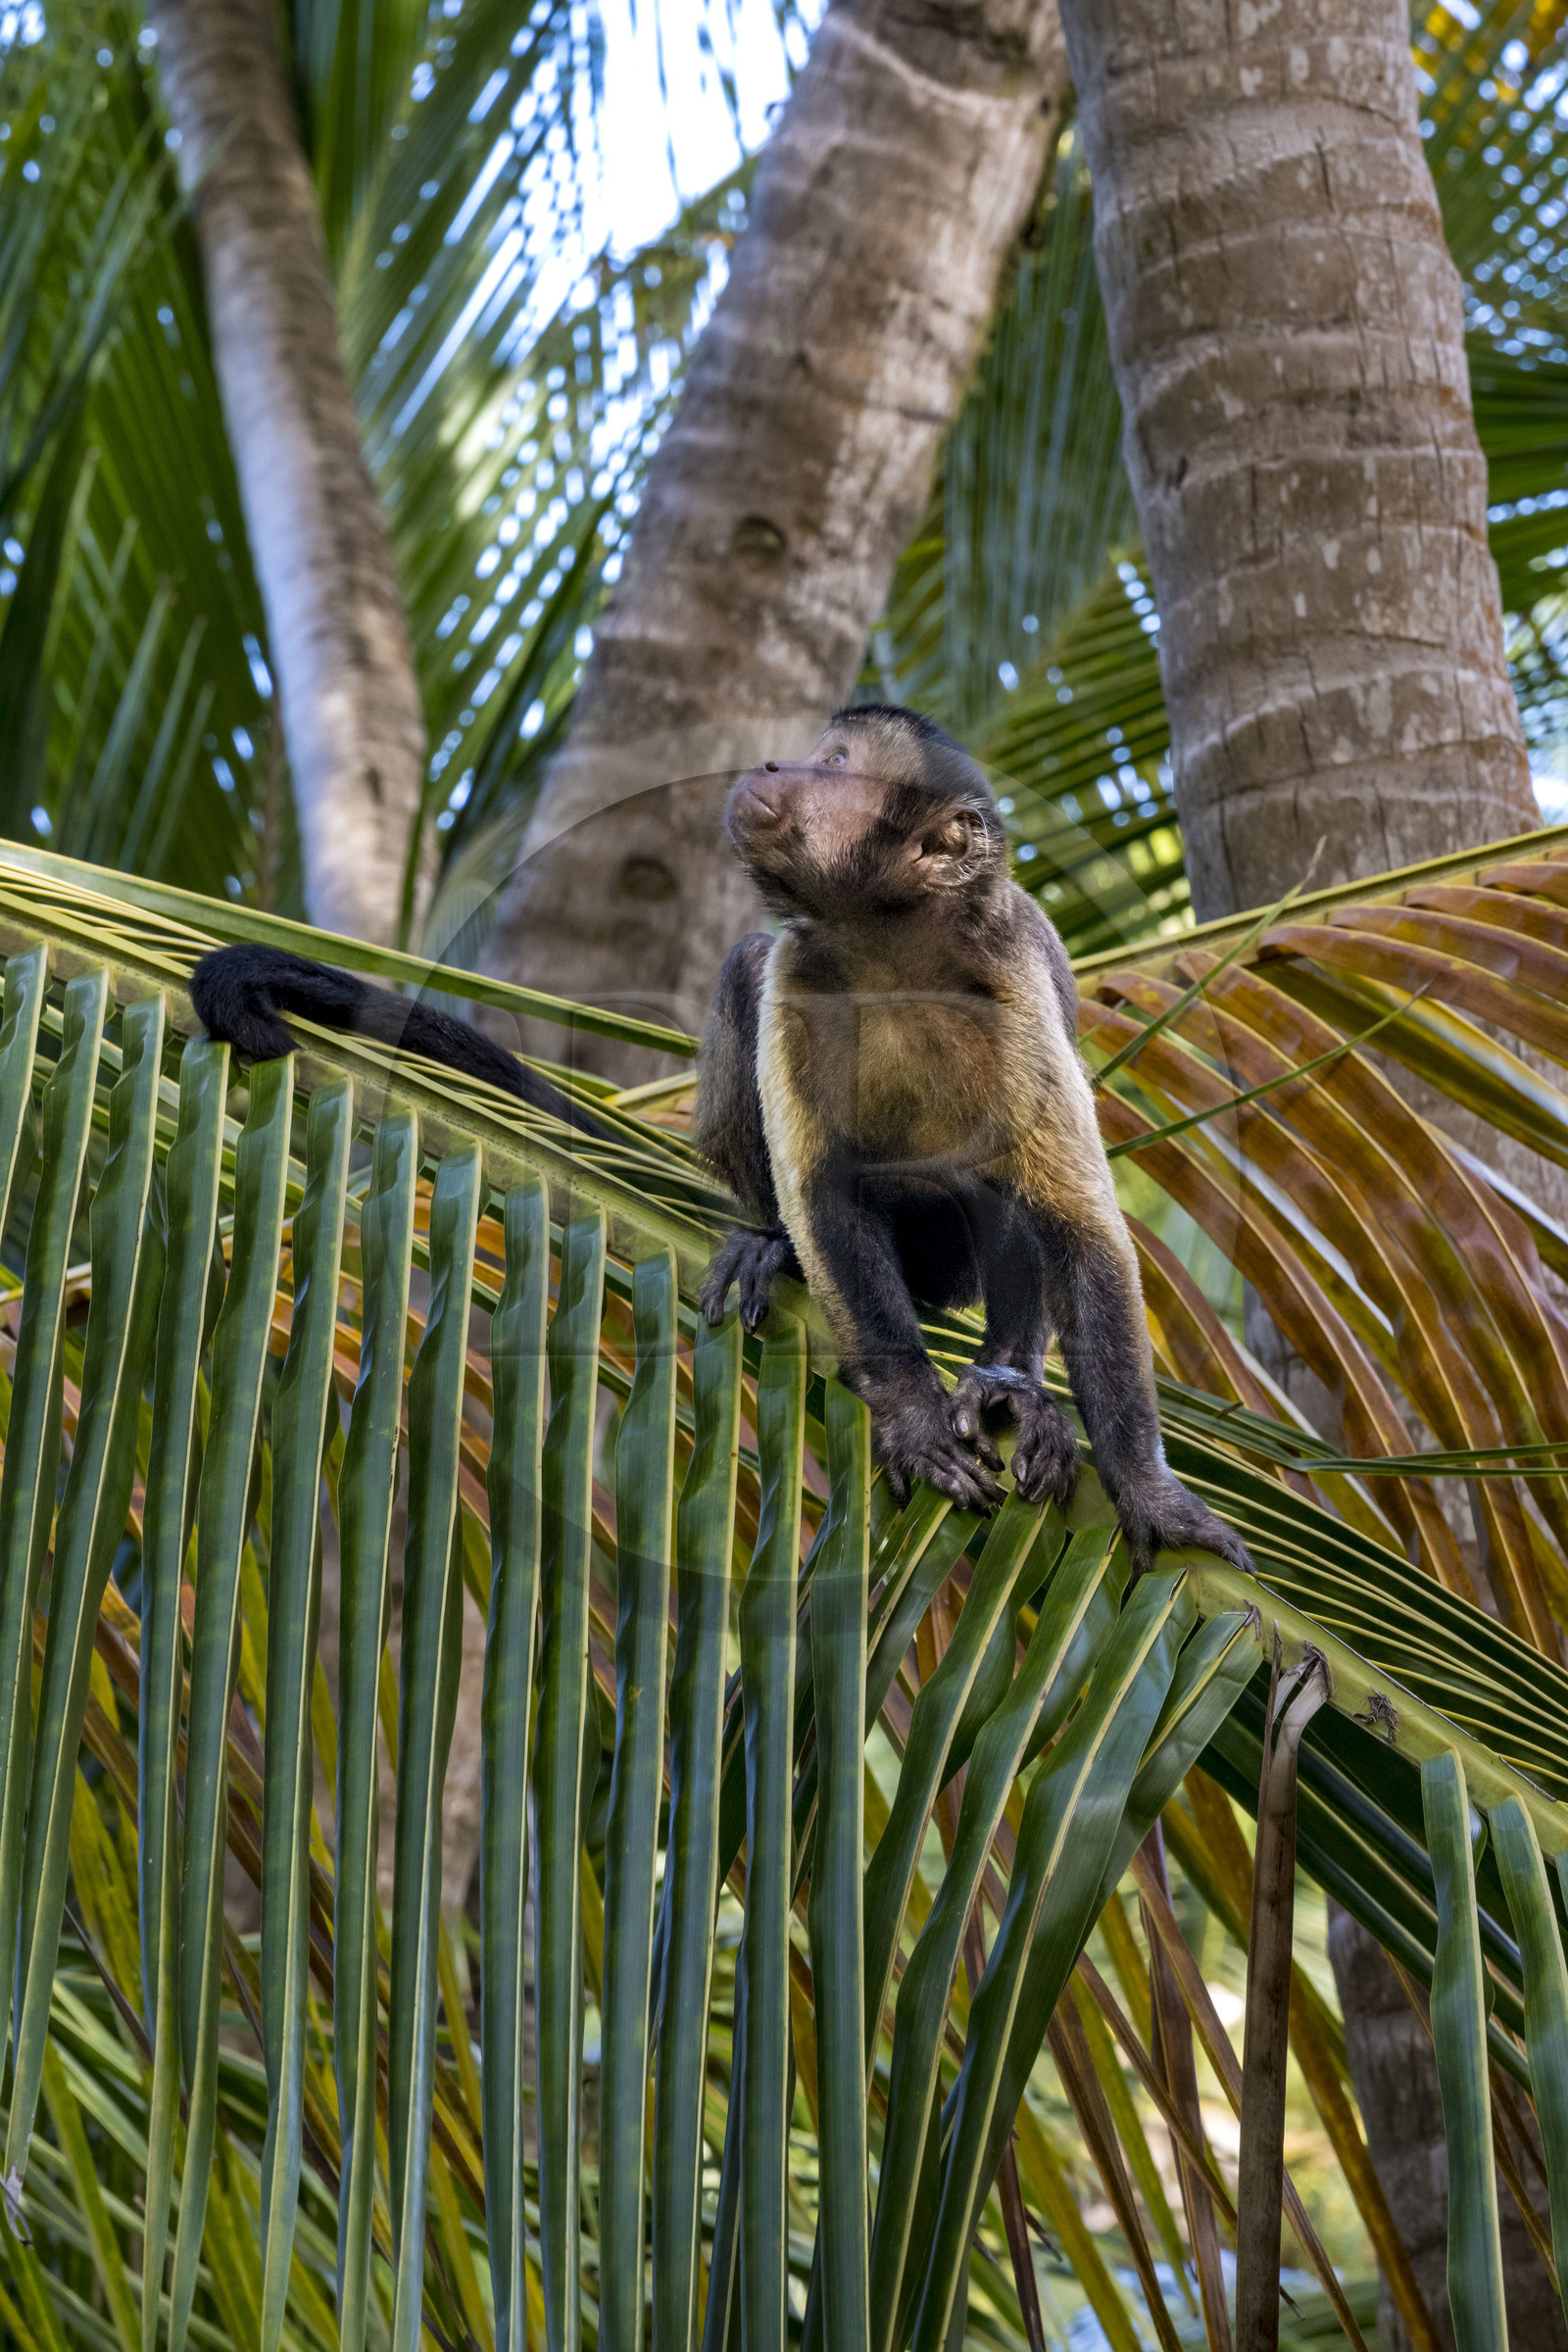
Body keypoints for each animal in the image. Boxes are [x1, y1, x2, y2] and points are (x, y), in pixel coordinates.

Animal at [694, 704, 1249, 1579]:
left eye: (836, 762)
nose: (776, 766)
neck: (891, 951)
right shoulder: (801, 973)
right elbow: (824, 1193)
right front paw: (913, 1412)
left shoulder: (1008, 973)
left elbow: (1080, 1229)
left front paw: (1143, 1485)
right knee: (747, 966)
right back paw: (771, 1246)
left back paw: (1008, 1386)